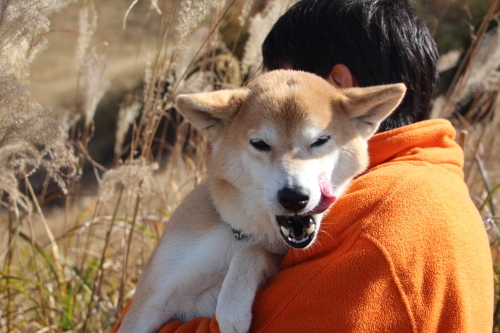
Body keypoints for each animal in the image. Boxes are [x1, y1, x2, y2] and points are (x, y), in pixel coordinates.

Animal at [118, 70, 406, 332]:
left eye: (320, 140)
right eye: (259, 144)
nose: (294, 196)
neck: (241, 233)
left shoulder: (269, 255)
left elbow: (252, 252)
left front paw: (232, 307)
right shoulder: (150, 299)